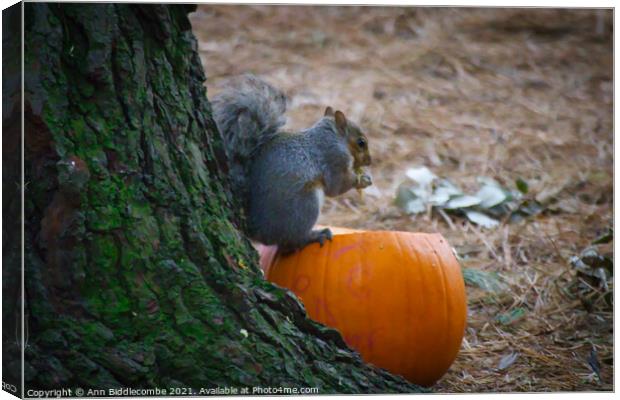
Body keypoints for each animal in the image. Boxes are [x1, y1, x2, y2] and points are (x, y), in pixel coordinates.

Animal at [213, 75, 370, 253]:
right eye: (361, 143)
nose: (370, 161)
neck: (332, 137)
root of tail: (258, 230)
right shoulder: (334, 159)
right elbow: (337, 186)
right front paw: (362, 180)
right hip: (305, 205)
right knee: (293, 239)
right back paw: (315, 235)